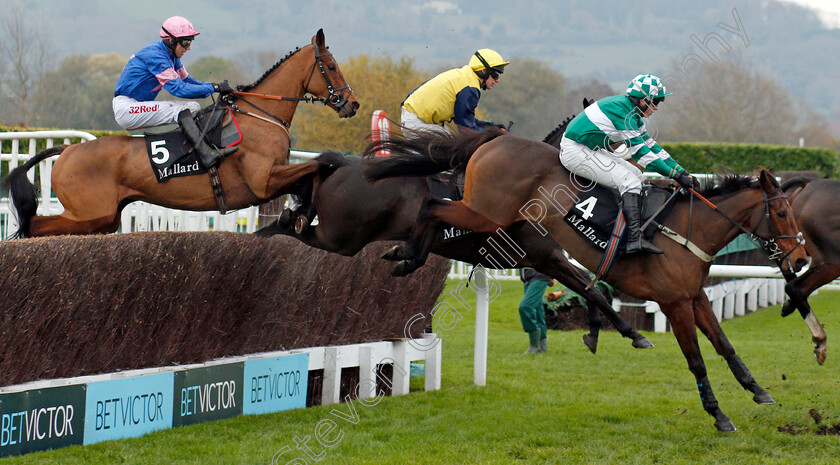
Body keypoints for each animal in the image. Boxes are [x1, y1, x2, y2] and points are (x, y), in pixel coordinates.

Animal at [3, 28, 360, 237]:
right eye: (331, 66)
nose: (352, 103)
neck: (261, 115)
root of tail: (68, 150)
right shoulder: (264, 180)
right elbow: (319, 164)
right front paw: (300, 213)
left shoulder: (276, 175)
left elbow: (314, 171)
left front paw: (296, 214)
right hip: (89, 212)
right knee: (34, 225)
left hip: (103, 218)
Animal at [256, 151, 656, 352]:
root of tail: (347, 165)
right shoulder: (548, 257)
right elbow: (592, 288)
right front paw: (629, 333)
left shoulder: (546, 260)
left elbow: (589, 287)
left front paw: (602, 332)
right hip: (342, 236)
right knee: (295, 229)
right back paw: (272, 230)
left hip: (342, 234)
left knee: (298, 221)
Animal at [364, 128, 812, 432]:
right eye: (783, 213)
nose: (803, 258)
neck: (688, 230)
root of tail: (497, 140)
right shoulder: (675, 303)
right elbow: (697, 359)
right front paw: (718, 415)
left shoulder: (695, 296)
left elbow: (725, 345)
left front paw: (758, 390)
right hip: (485, 213)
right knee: (431, 203)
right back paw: (405, 256)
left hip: (513, 232)